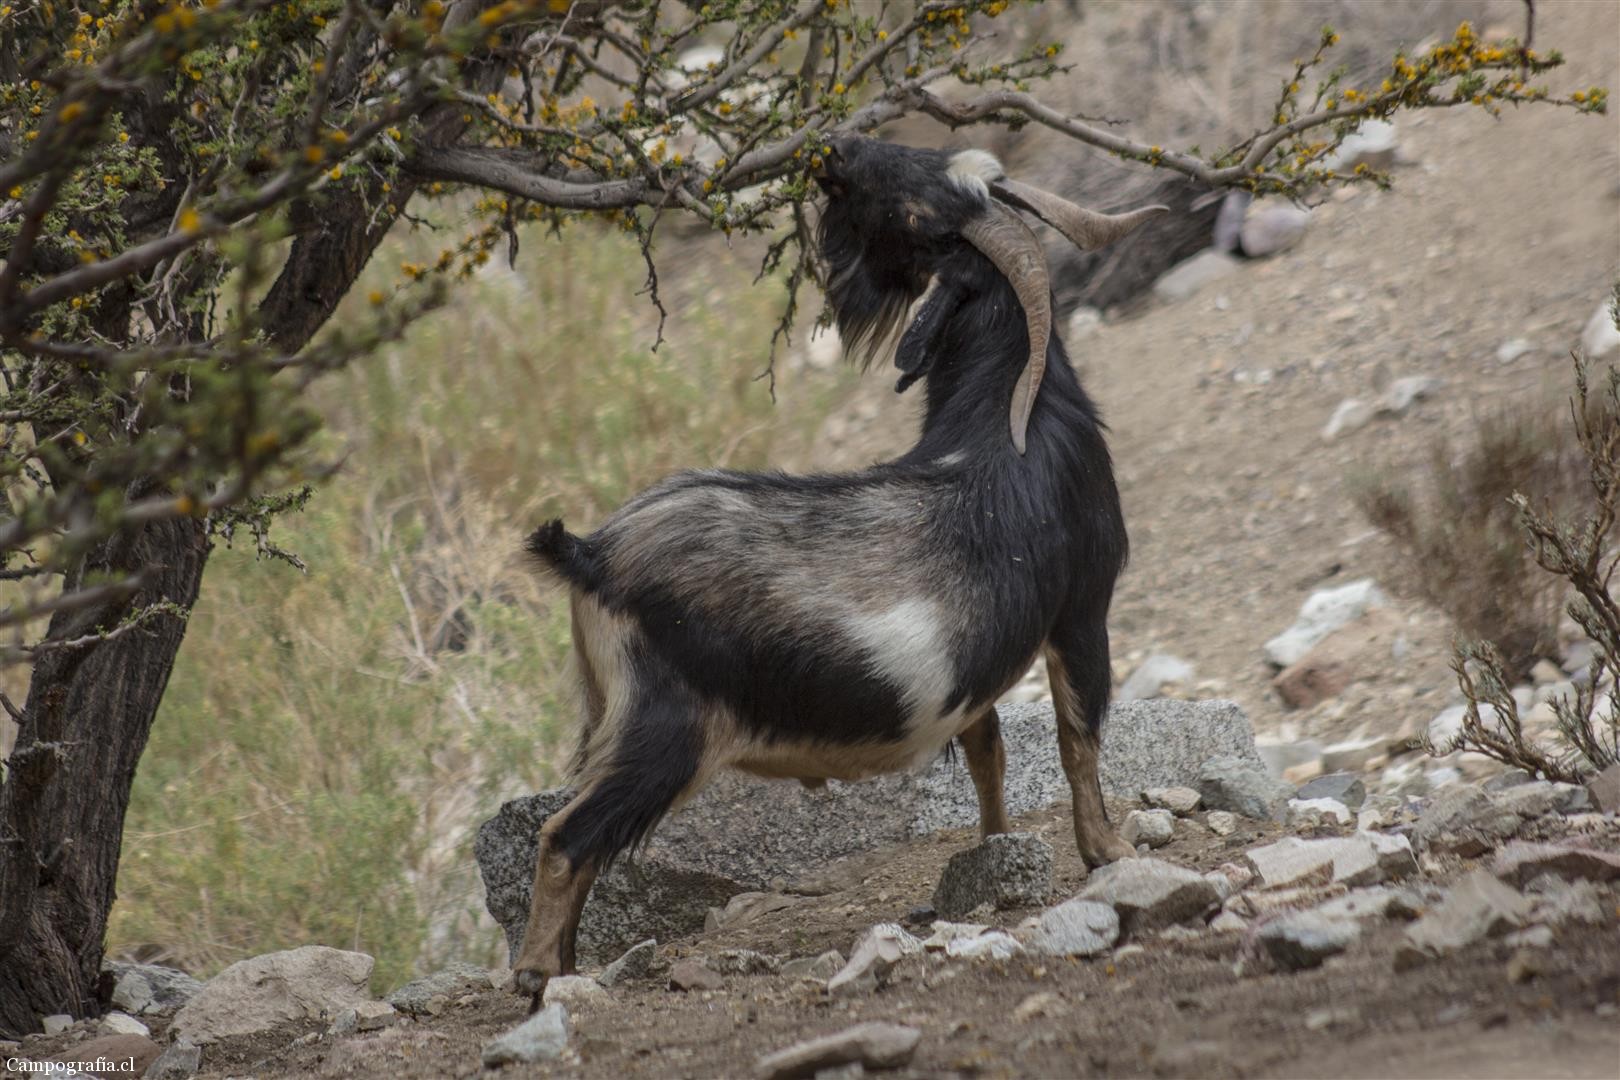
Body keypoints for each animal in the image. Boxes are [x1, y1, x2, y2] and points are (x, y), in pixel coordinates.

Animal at [512, 135, 1166, 1004]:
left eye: (920, 198)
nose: (841, 151)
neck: (1007, 411)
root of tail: (596, 553)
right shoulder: (1084, 609)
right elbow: (1079, 734)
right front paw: (1107, 852)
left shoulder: (978, 676)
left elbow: (988, 751)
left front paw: (995, 852)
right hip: (664, 730)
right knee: (565, 836)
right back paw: (535, 972)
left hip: (607, 716)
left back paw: (567, 968)